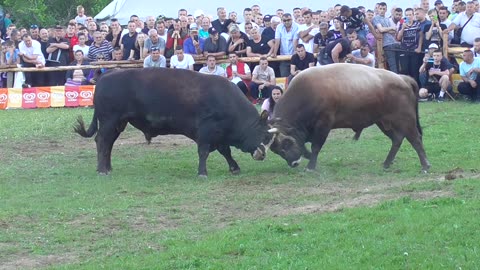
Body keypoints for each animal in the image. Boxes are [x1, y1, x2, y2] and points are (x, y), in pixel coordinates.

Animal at [255, 63, 432, 173]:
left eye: (286, 144)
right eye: (276, 150)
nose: (293, 163)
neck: (306, 94)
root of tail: (403, 78)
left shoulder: (323, 125)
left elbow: (316, 146)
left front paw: (311, 166)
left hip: (405, 120)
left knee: (415, 139)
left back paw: (425, 166)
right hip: (382, 122)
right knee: (397, 139)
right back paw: (386, 163)